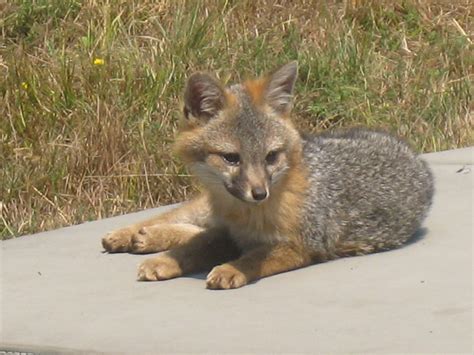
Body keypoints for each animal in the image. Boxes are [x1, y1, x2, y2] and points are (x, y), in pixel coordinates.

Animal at [102, 61, 436, 290]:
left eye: (271, 157)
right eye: (231, 158)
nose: (259, 193)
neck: (245, 215)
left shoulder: (302, 244)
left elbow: (250, 258)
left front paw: (230, 270)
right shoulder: (231, 233)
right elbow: (196, 246)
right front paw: (166, 259)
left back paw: (145, 237)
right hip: (203, 212)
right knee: (177, 219)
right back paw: (130, 234)